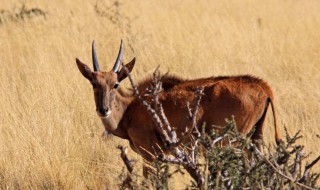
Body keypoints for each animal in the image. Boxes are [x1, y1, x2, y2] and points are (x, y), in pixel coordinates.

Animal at [76, 39, 282, 163]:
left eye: (115, 84)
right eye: (94, 83)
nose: (104, 109)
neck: (130, 108)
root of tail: (263, 87)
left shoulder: (152, 156)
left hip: (231, 143)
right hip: (255, 138)